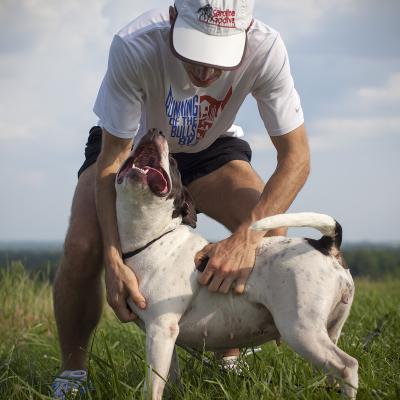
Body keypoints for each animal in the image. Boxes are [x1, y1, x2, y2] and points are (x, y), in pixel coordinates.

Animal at [115, 129, 358, 399]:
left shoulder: (159, 329)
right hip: (329, 330)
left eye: (175, 164)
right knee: (334, 372)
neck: (154, 239)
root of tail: (326, 244)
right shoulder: (164, 338)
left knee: (347, 366)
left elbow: (152, 387)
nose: (154, 131)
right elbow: (169, 378)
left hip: (302, 331)